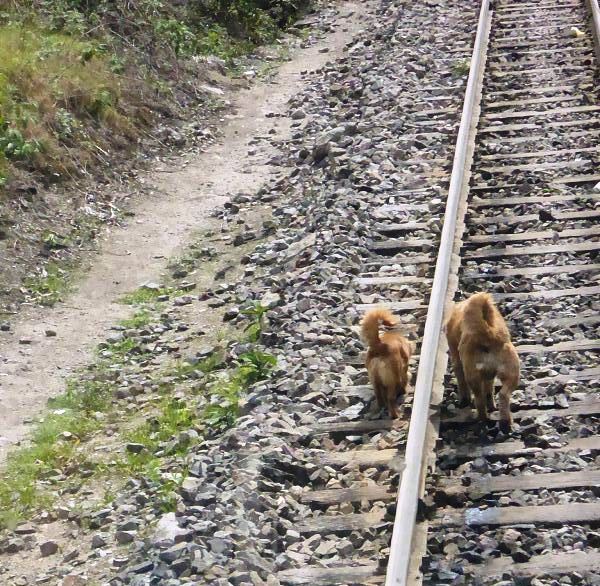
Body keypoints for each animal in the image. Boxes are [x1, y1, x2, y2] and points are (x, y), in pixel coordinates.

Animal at [446, 290, 520, 426]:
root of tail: (488, 334)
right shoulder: (489, 375)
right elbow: (489, 390)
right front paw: (491, 405)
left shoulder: (456, 359)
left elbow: (462, 382)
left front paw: (464, 400)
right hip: (511, 372)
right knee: (503, 394)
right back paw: (505, 420)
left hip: (472, 374)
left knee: (479, 399)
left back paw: (482, 418)